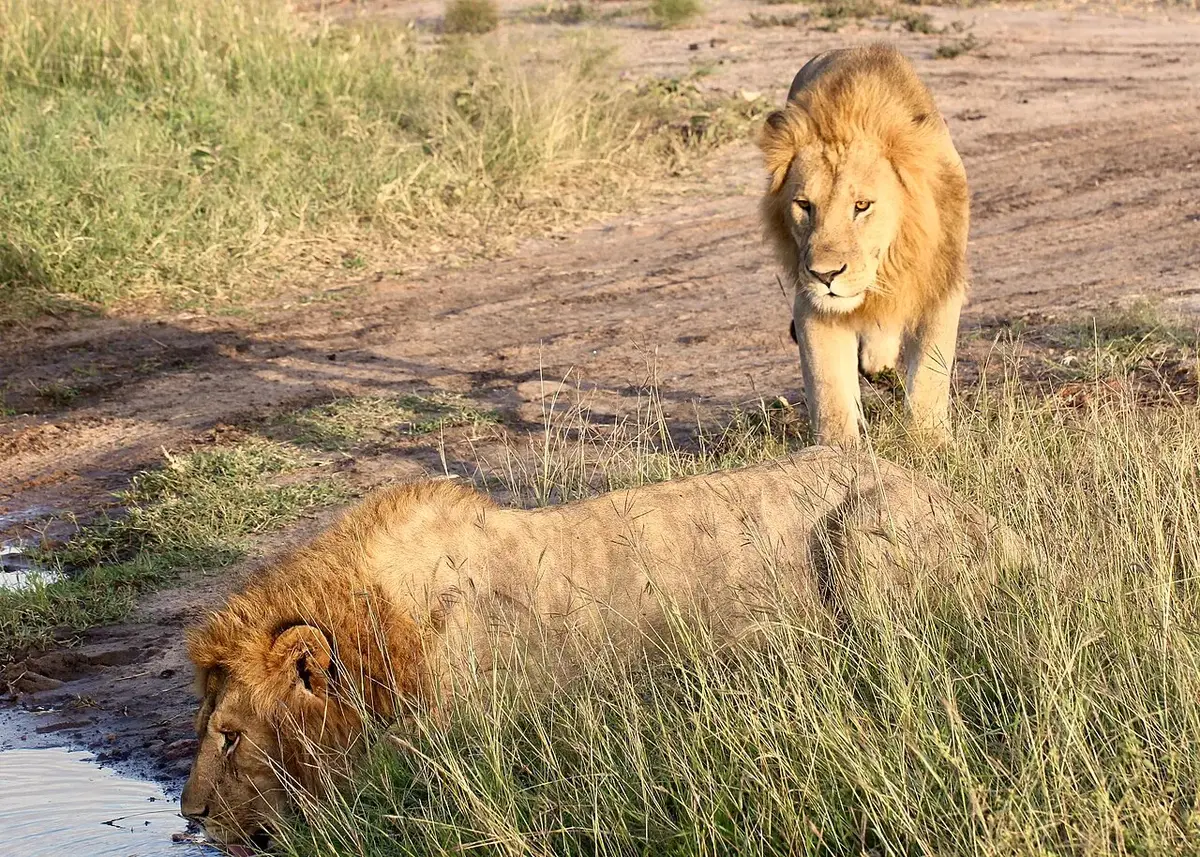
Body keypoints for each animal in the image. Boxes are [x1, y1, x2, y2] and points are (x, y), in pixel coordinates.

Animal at [759, 44, 970, 446]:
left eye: (861, 205)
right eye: (804, 205)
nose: (825, 275)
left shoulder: (942, 279)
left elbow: (931, 368)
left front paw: (929, 441)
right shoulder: (811, 302)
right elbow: (828, 387)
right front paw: (838, 449)